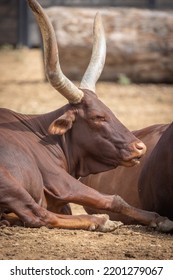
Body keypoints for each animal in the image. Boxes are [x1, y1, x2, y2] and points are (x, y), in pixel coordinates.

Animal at [0, 0, 173, 232]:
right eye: (98, 117)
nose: (140, 147)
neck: (44, 136)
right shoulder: (60, 181)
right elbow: (114, 199)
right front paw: (159, 218)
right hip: (9, 183)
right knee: (36, 215)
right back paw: (100, 221)